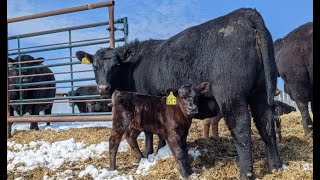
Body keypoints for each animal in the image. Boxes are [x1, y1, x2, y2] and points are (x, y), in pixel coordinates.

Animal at [75, 8, 284, 179]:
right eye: (95, 66)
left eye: (116, 65)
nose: (103, 88)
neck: (134, 67)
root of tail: (245, 13)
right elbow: (158, 133)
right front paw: (160, 151)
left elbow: (149, 133)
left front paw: (150, 153)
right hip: (261, 92)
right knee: (266, 126)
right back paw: (275, 167)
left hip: (232, 96)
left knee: (241, 129)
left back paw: (246, 173)